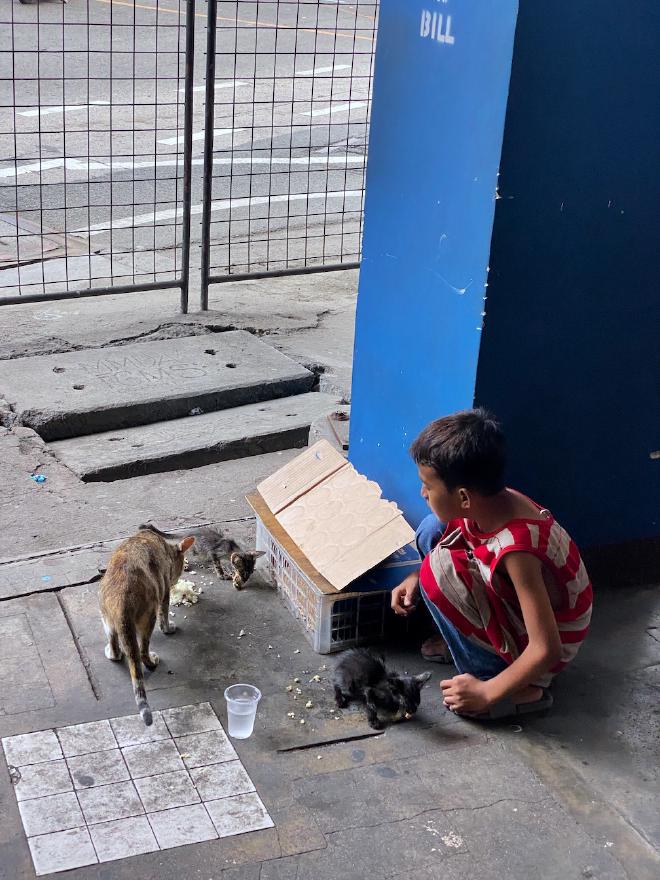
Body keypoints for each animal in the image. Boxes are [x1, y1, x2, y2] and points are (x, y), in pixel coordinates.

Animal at [98, 524, 193, 724]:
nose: (176, 579)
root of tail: (122, 599)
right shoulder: (164, 591)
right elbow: (164, 613)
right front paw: (169, 628)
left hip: (105, 614)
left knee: (115, 647)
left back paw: (112, 651)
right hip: (149, 614)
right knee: (142, 652)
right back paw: (152, 660)